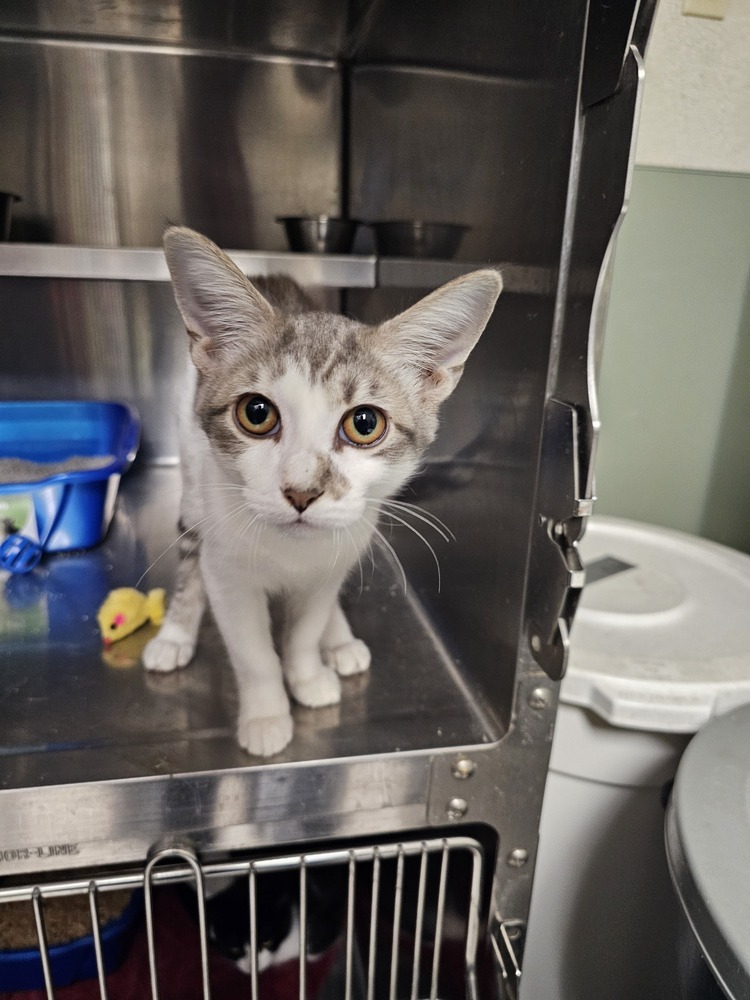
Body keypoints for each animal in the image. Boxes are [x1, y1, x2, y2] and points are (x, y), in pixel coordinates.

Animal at [144, 229, 502, 756]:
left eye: (365, 423)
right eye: (256, 413)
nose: (301, 491)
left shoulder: (329, 565)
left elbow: (304, 632)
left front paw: (308, 671)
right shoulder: (228, 575)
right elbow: (253, 652)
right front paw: (267, 713)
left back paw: (338, 637)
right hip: (192, 479)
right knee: (190, 555)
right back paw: (175, 633)